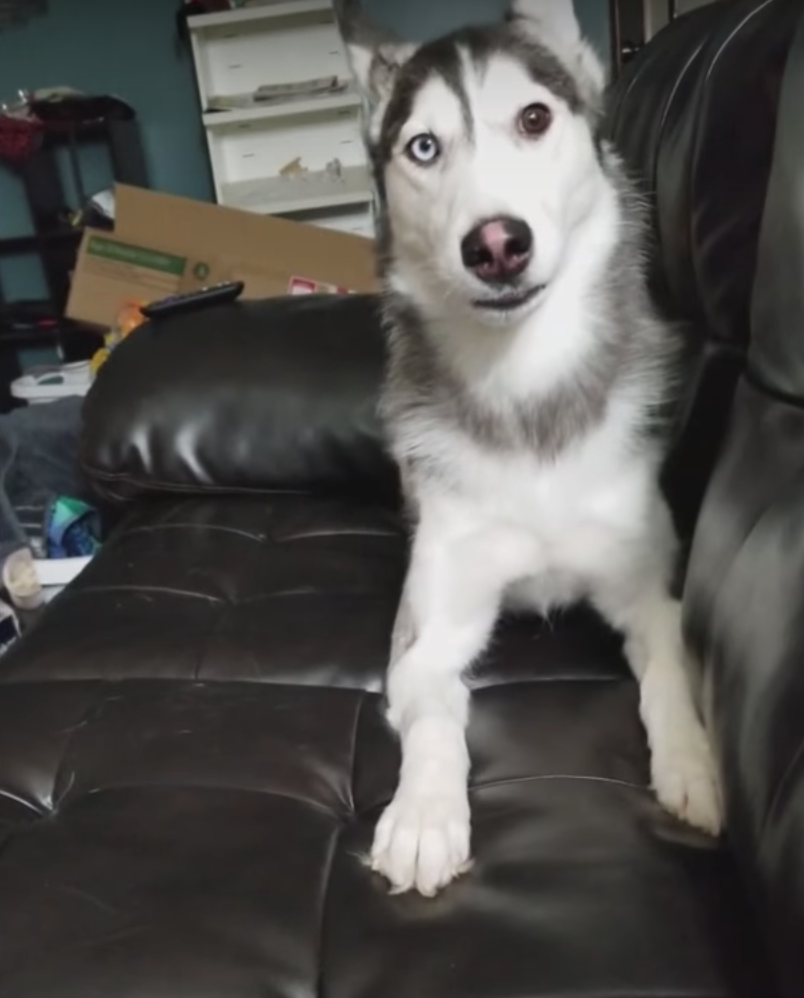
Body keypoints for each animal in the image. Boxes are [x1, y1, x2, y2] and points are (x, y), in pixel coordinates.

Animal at [340, 0, 724, 900]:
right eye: (423, 146)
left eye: (534, 119)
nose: (495, 244)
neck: (525, 389)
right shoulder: (426, 636)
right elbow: (434, 718)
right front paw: (421, 819)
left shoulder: (651, 593)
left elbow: (668, 673)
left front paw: (694, 765)